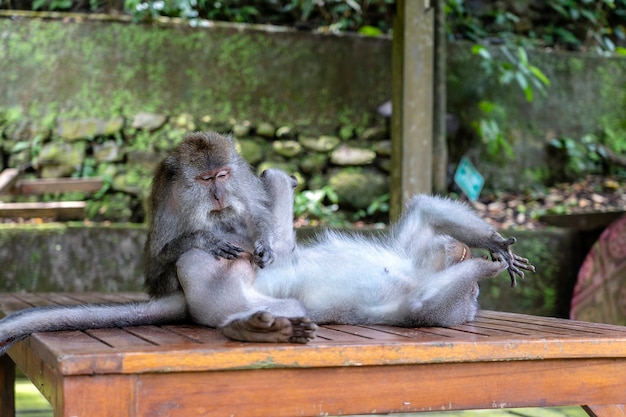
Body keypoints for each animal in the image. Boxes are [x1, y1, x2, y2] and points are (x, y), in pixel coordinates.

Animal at [0, 130, 532, 352]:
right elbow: (423, 213)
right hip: (219, 269)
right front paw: (495, 248)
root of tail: (188, 297)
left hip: (223, 292)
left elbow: (424, 306)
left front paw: (486, 262)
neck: (424, 265)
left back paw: (256, 330)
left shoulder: (437, 296)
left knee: (287, 306)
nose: (462, 254)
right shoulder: (416, 251)